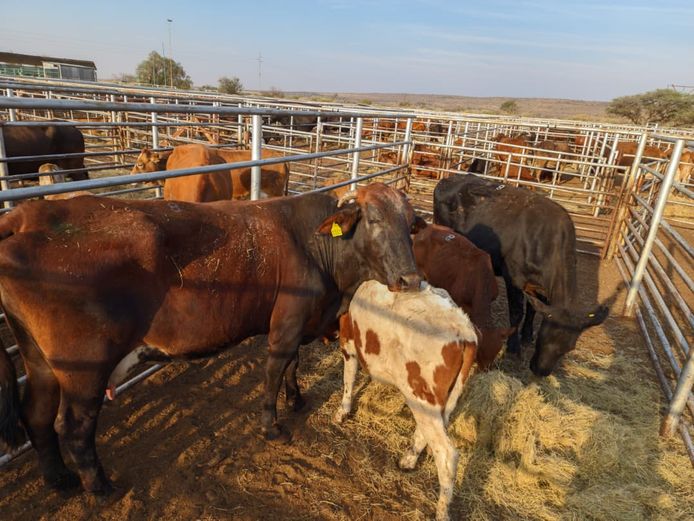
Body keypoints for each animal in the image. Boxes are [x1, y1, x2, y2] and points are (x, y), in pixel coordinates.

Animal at [0, 182, 422, 494]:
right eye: (373, 219)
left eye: (411, 225)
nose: (411, 279)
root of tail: (28, 214)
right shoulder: (286, 325)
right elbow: (273, 374)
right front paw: (272, 427)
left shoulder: (301, 323)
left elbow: (294, 366)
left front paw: (297, 399)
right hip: (84, 366)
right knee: (73, 426)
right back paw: (101, 487)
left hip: (38, 359)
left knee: (36, 414)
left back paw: (60, 479)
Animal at [334, 280, 477, 521]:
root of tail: (462, 327)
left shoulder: (349, 340)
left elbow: (348, 377)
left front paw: (342, 411)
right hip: (441, 400)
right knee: (429, 432)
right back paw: (409, 459)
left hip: (421, 396)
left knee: (447, 454)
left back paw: (441, 511)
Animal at [433, 174, 608, 376]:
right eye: (544, 337)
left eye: (569, 347)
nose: (540, 371)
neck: (544, 243)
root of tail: (448, 179)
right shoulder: (514, 279)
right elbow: (517, 311)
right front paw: (513, 346)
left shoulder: (539, 287)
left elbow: (532, 310)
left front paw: (526, 335)